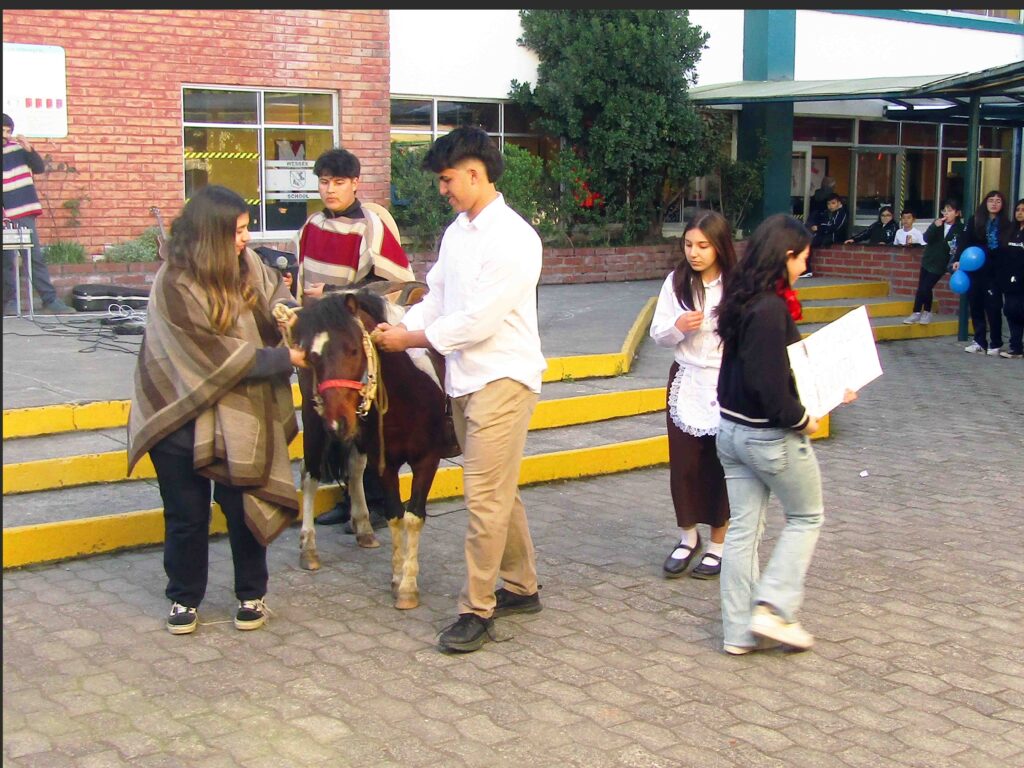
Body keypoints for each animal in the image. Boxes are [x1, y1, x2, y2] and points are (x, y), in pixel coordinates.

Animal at [283, 288, 450, 610]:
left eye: (353, 349)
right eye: (313, 356)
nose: (338, 422)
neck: (410, 392)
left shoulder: (426, 458)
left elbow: (412, 517)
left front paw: (406, 584)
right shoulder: (386, 460)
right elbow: (396, 514)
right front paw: (401, 582)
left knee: (354, 469)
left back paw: (363, 527)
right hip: (313, 424)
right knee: (310, 475)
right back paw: (308, 548)